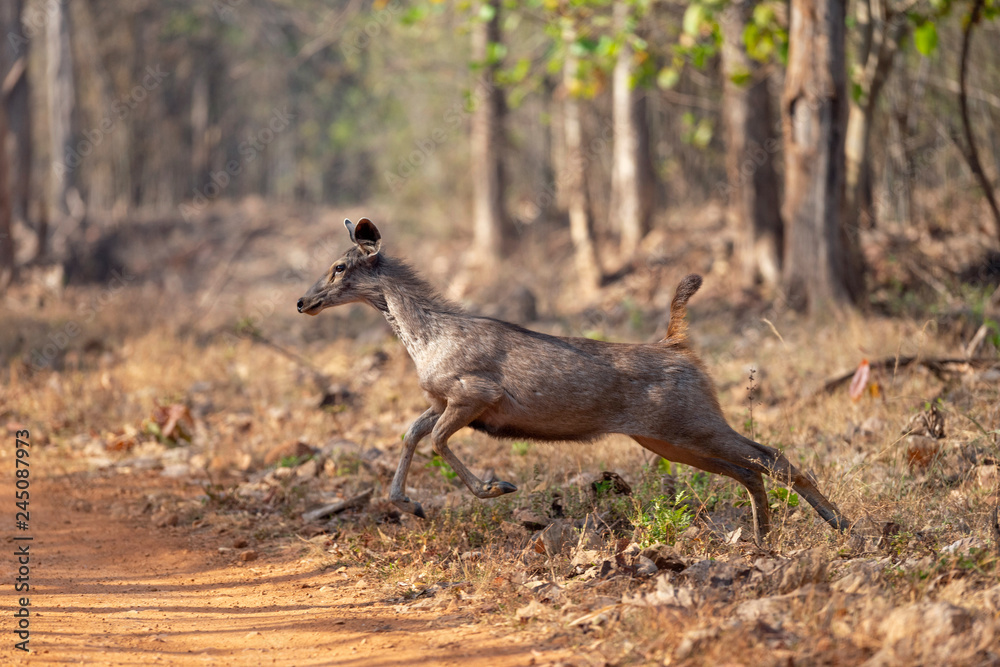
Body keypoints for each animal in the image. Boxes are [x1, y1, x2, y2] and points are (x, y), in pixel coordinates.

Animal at [297, 218, 850, 542]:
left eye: (339, 266)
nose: (303, 301)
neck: (424, 339)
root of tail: (678, 346)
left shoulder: (476, 392)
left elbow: (434, 440)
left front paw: (494, 486)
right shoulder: (441, 399)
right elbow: (411, 432)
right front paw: (407, 503)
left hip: (691, 419)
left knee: (771, 456)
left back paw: (843, 527)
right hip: (668, 437)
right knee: (749, 469)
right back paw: (764, 537)